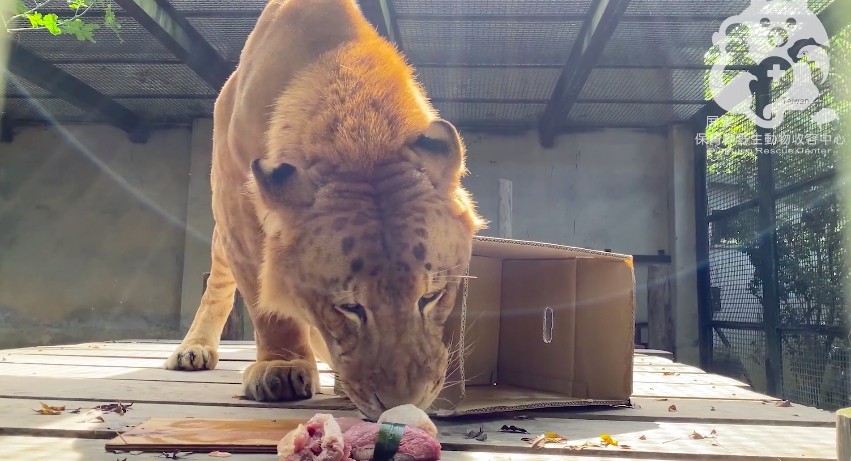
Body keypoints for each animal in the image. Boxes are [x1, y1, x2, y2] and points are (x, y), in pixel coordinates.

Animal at [166, 0, 486, 418]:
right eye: (348, 307)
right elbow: (264, 300)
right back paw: (194, 349)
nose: (402, 404)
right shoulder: (237, 201)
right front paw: (281, 367)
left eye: (431, 297)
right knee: (218, 283)